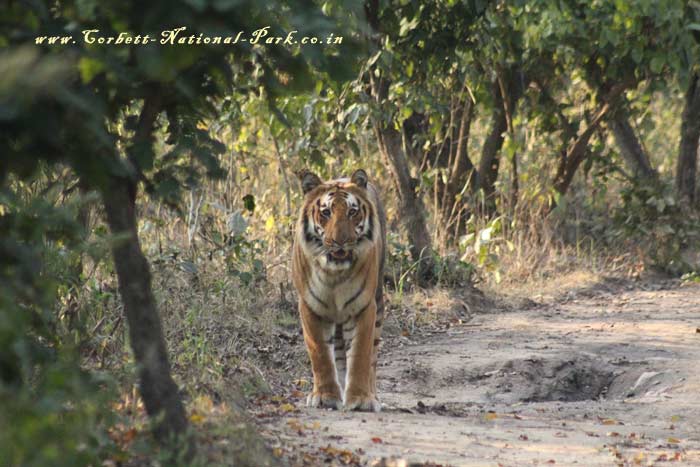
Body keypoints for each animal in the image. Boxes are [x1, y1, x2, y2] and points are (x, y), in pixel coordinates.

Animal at [292, 169, 386, 414]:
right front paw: (325, 397)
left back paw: (371, 395)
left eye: (352, 212)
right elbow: (320, 355)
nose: (340, 241)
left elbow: (361, 354)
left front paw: (361, 399)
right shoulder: (310, 307)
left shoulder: (365, 307)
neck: (334, 274)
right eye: (326, 212)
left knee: (372, 357)